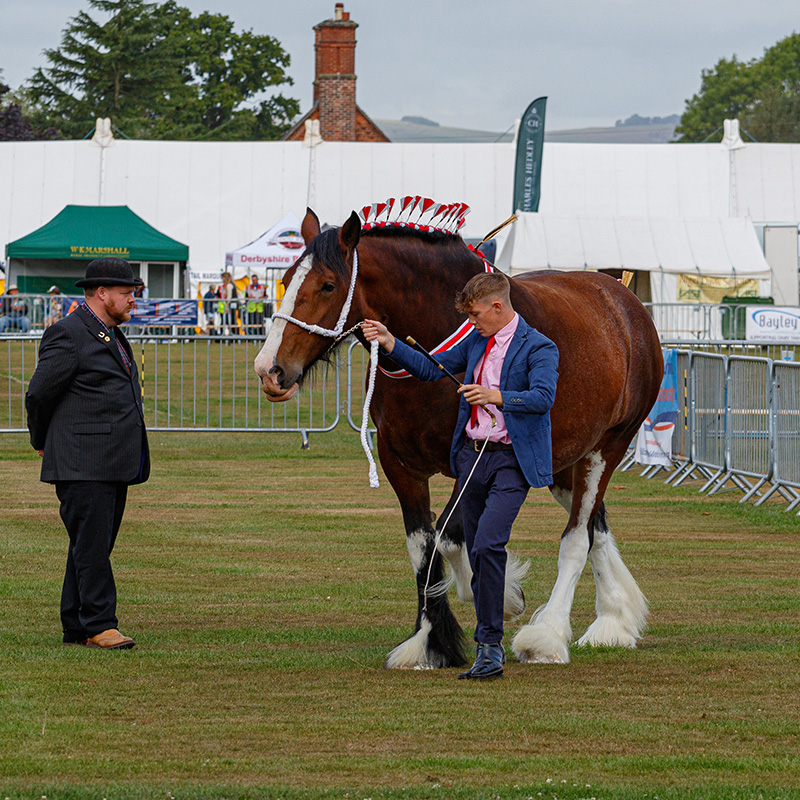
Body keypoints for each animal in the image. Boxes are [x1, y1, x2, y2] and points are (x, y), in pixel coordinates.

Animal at [256, 206, 664, 668]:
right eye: (287, 279)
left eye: (327, 284)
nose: (269, 370)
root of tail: (623, 298)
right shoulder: (400, 466)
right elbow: (422, 549)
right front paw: (428, 640)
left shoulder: (472, 458)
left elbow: (449, 541)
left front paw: (502, 598)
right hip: (559, 459)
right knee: (596, 525)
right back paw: (615, 618)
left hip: (606, 447)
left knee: (578, 536)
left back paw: (549, 634)